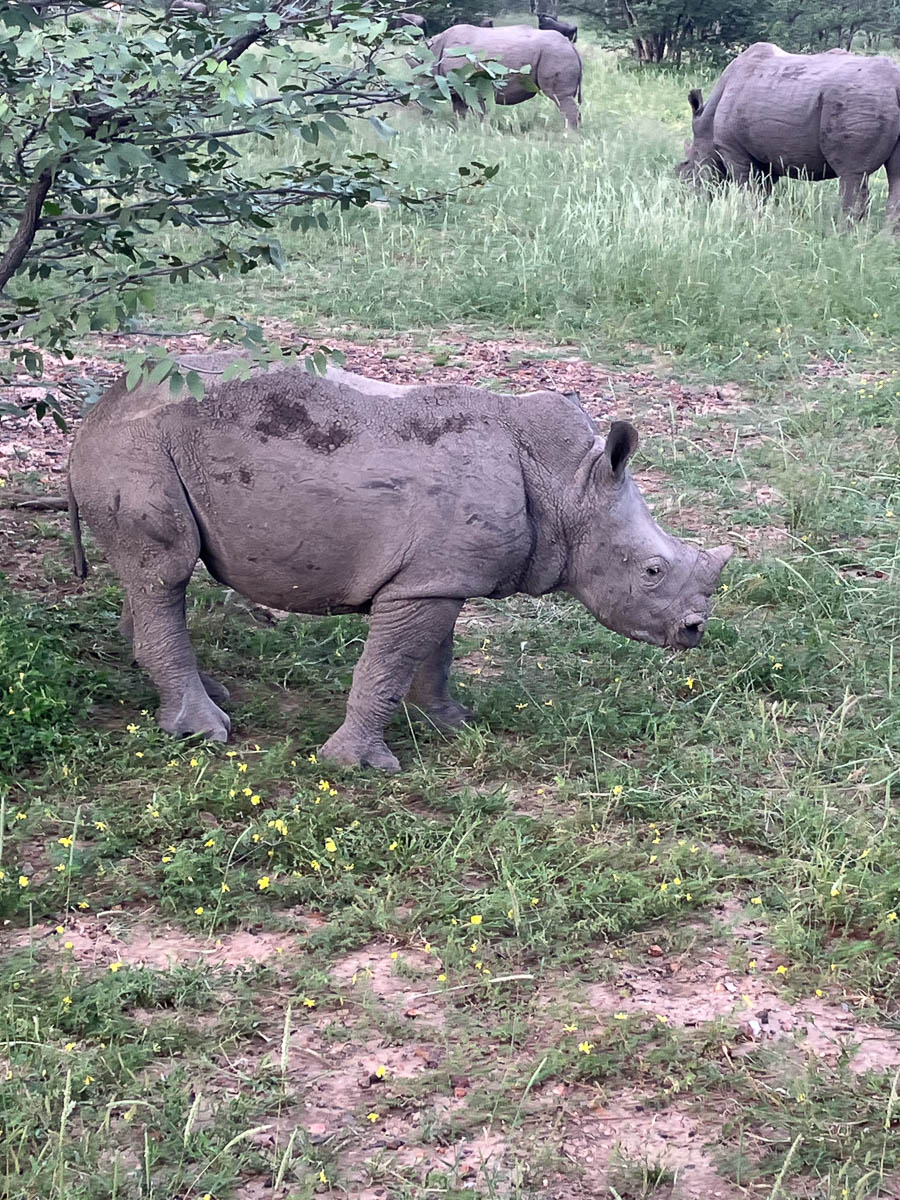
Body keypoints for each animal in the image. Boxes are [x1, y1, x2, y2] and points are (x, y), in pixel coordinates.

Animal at [67, 359, 732, 772]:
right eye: (651, 571)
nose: (695, 631)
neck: (569, 485)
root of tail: (97, 410)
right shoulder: (424, 584)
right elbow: (387, 665)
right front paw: (360, 765)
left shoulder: (440, 577)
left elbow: (436, 653)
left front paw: (452, 724)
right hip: (138, 446)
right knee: (166, 570)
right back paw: (205, 730)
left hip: (144, 444)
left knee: (154, 577)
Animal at [428, 23, 582, 129]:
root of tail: (571, 45)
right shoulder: (457, 87)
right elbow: (459, 111)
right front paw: (460, 130)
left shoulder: (469, 85)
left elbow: (478, 110)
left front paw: (481, 130)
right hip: (557, 52)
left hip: (556, 53)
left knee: (560, 97)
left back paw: (569, 136)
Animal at [677, 42, 900, 230]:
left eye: (688, 168)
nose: (690, 202)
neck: (707, 125)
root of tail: (894, 83)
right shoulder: (766, 157)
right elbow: (762, 192)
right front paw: (761, 221)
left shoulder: (734, 151)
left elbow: (747, 188)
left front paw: (746, 220)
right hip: (867, 100)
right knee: (895, 177)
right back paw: (884, 241)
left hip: (857, 101)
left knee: (852, 174)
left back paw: (844, 235)